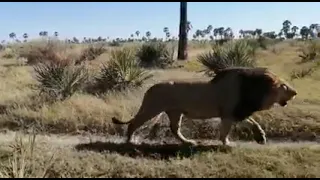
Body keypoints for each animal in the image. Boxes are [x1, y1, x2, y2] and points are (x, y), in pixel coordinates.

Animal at [112, 67, 298, 146]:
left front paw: (260, 137)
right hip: (152, 109)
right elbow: (227, 131)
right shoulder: (229, 114)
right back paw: (130, 141)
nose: (295, 92)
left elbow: (253, 122)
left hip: (175, 112)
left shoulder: (237, 112)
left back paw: (189, 142)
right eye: (284, 86)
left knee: (175, 129)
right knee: (133, 123)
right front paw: (227, 143)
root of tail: (150, 88)